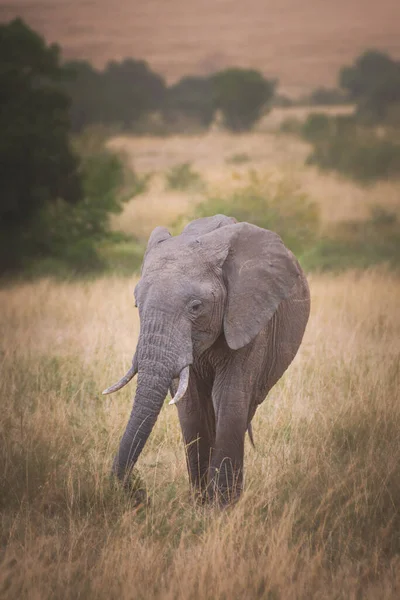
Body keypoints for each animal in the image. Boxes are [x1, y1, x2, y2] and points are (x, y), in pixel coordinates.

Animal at [103, 213, 310, 504]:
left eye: (196, 307)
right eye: (136, 305)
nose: (139, 491)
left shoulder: (249, 317)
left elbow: (229, 398)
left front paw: (221, 507)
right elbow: (191, 404)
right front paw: (201, 504)